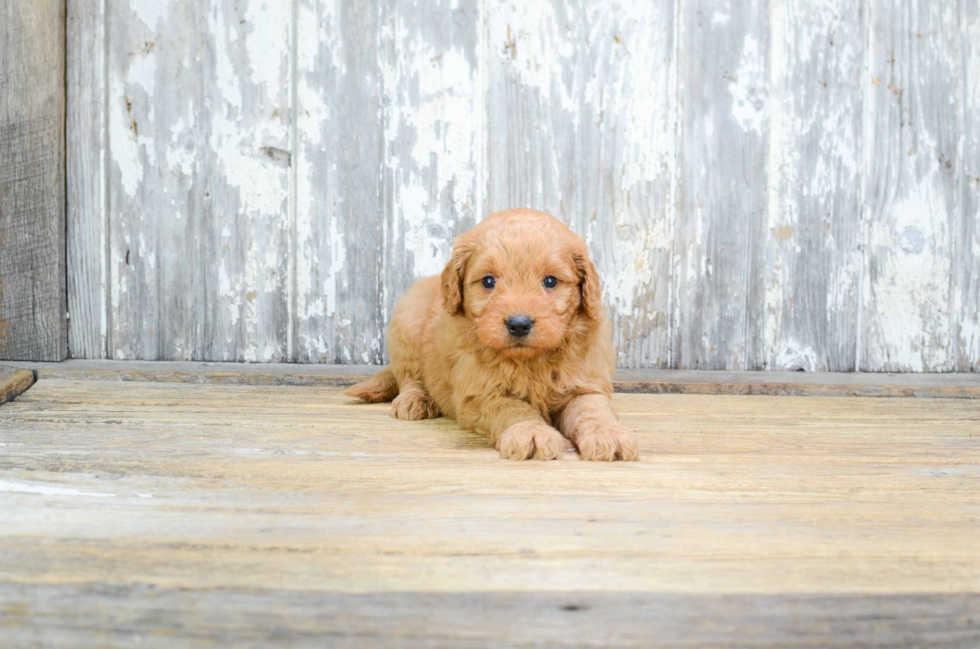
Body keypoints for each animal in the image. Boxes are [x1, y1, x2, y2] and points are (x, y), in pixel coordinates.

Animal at [342, 208, 636, 460]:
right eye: (488, 281)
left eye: (551, 281)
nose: (519, 324)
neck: (531, 362)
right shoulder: (481, 395)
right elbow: (514, 409)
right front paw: (531, 431)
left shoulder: (585, 384)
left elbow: (592, 409)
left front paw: (607, 434)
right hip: (407, 323)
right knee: (409, 375)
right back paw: (415, 400)